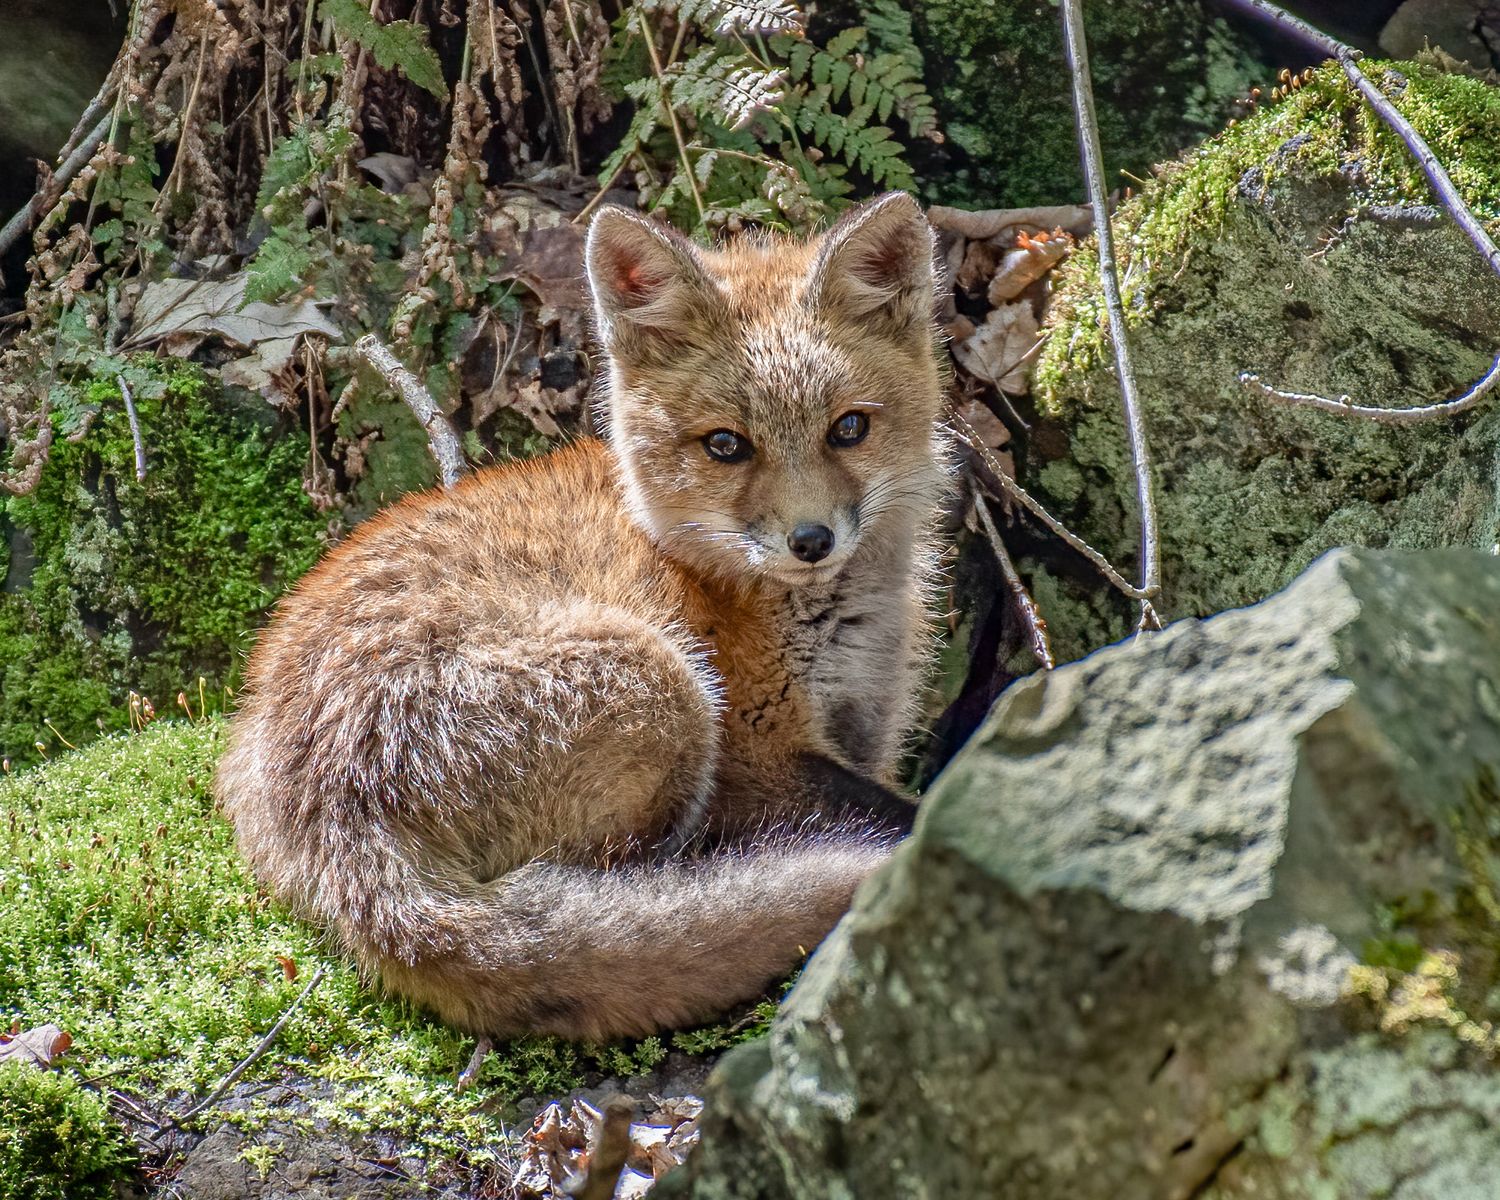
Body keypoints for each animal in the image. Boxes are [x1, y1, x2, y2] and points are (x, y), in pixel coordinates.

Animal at [214, 191, 951, 1041]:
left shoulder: (867, 731)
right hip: (665, 691)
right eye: (726, 445)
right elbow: (901, 812)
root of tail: (338, 819)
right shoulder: (759, 757)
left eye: (849, 428)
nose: (811, 541)